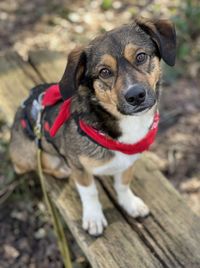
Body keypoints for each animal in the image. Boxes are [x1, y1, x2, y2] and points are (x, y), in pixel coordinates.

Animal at [9, 16, 175, 236]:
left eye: (141, 57)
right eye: (104, 72)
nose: (136, 96)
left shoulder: (128, 163)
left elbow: (123, 184)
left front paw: (130, 203)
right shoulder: (79, 168)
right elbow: (90, 192)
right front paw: (94, 218)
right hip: (27, 158)